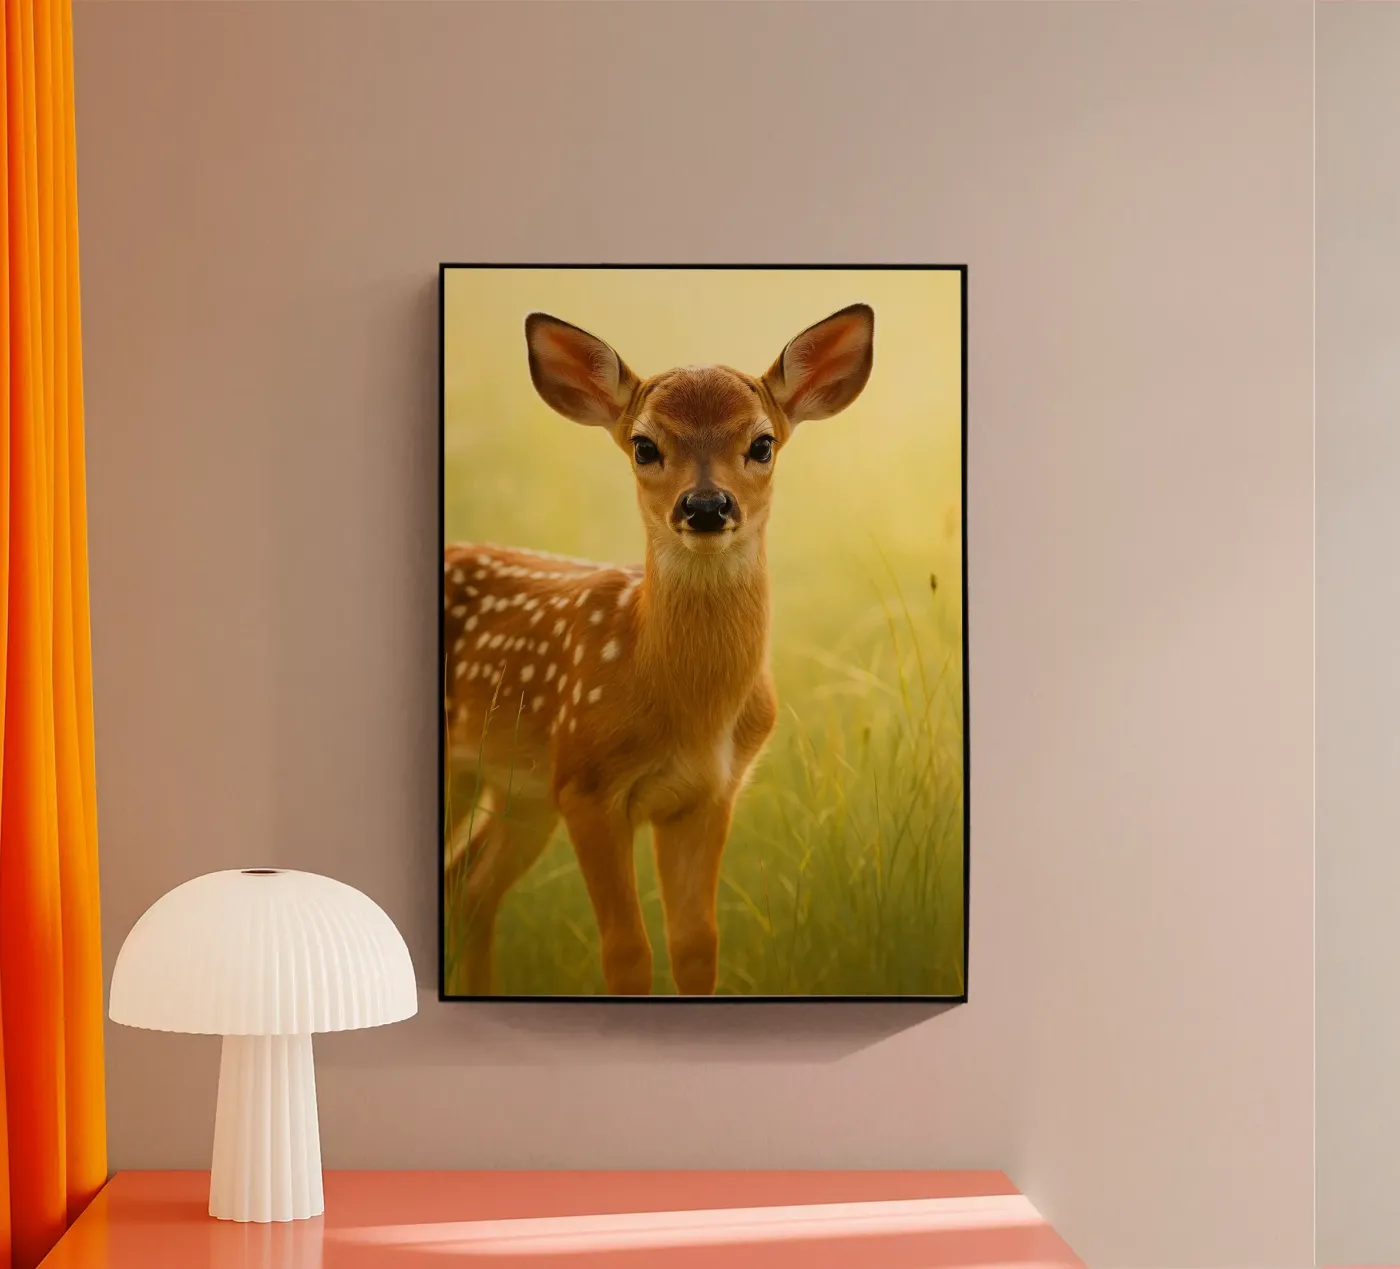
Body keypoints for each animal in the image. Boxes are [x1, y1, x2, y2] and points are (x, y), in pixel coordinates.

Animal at [442, 302, 875, 996]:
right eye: (645, 445)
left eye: (762, 443)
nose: (705, 505)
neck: (687, 708)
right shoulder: (587, 786)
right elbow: (626, 951)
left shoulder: (709, 794)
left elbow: (696, 944)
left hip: (519, 790)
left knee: (470, 885)